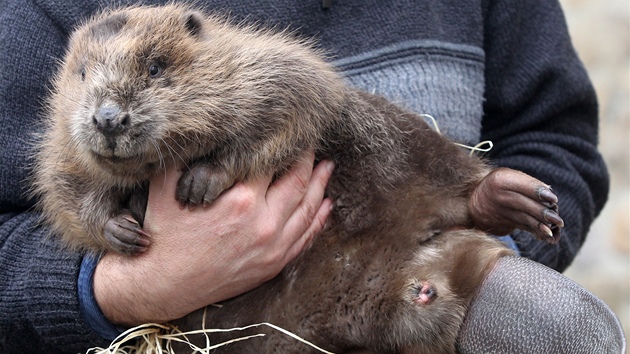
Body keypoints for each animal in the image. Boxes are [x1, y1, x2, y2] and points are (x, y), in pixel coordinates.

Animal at [32, 3, 564, 354]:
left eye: (155, 65)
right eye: (82, 72)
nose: (107, 119)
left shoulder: (274, 70)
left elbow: (291, 111)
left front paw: (198, 182)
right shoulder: (61, 146)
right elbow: (67, 190)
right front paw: (122, 230)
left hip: (405, 143)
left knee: (460, 183)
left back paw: (525, 202)